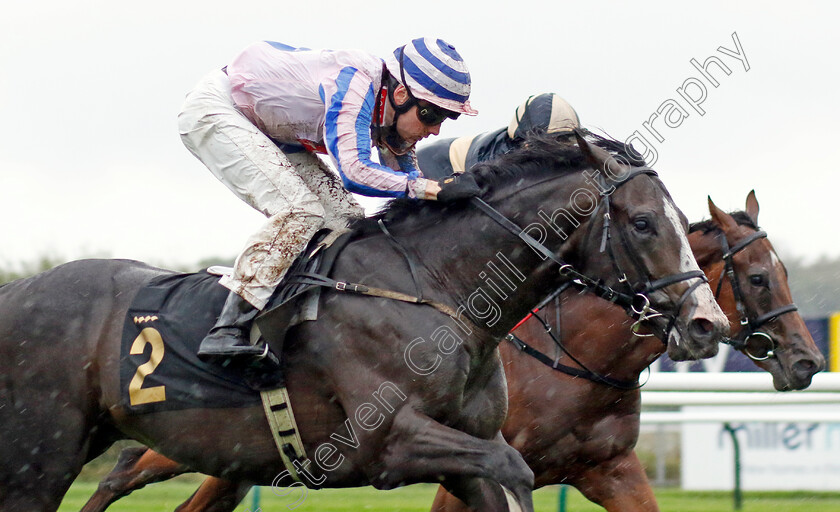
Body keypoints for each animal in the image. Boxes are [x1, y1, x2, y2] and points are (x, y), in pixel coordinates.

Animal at [0, 132, 728, 512]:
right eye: (643, 222)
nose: (706, 324)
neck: (438, 291)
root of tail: (17, 293)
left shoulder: (470, 453)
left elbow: (501, 474)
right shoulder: (387, 443)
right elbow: (514, 469)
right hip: (40, 456)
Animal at [77, 192, 820, 512]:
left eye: (786, 273)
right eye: (759, 277)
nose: (807, 362)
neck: (575, 362)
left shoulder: (608, 469)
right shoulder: (457, 461)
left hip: (246, 455)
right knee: (122, 472)